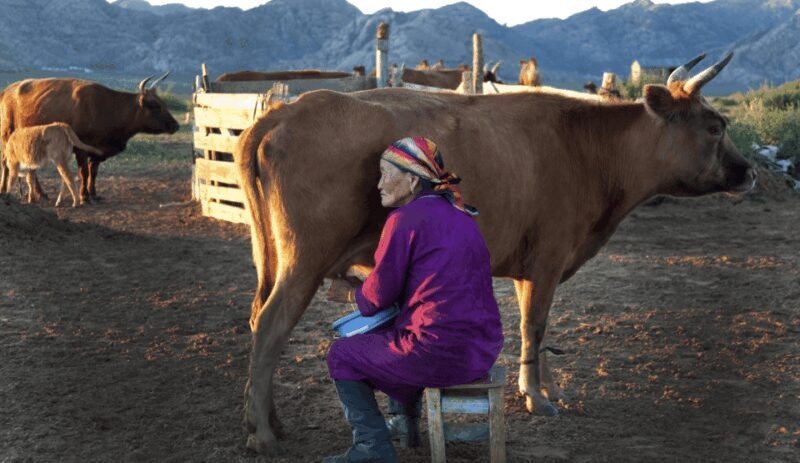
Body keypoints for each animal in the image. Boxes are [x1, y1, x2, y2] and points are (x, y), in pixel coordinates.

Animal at [0, 74, 179, 202]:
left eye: (164, 103)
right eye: (154, 105)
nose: (175, 125)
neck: (106, 107)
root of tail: (6, 91)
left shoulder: (98, 151)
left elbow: (93, 173)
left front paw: (93, 194)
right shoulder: (81, 148)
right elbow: (84, 172)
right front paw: (84, 196)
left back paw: (40, 194)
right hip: (7, 136)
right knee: (5, 162)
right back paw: (3, 191)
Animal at [233, 52, 752, 454]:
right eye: (715, 126)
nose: (748, 171)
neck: (587, 149)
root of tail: (286, 111)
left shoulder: (532, 267)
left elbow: (537, 328)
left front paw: (546, 385)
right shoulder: (548, 258)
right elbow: (534, 325)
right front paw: (537, 397)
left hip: (273, 257)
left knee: (258, 319)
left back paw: (267, 420)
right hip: (304, 260)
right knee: (271, 325)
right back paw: (263, 435)